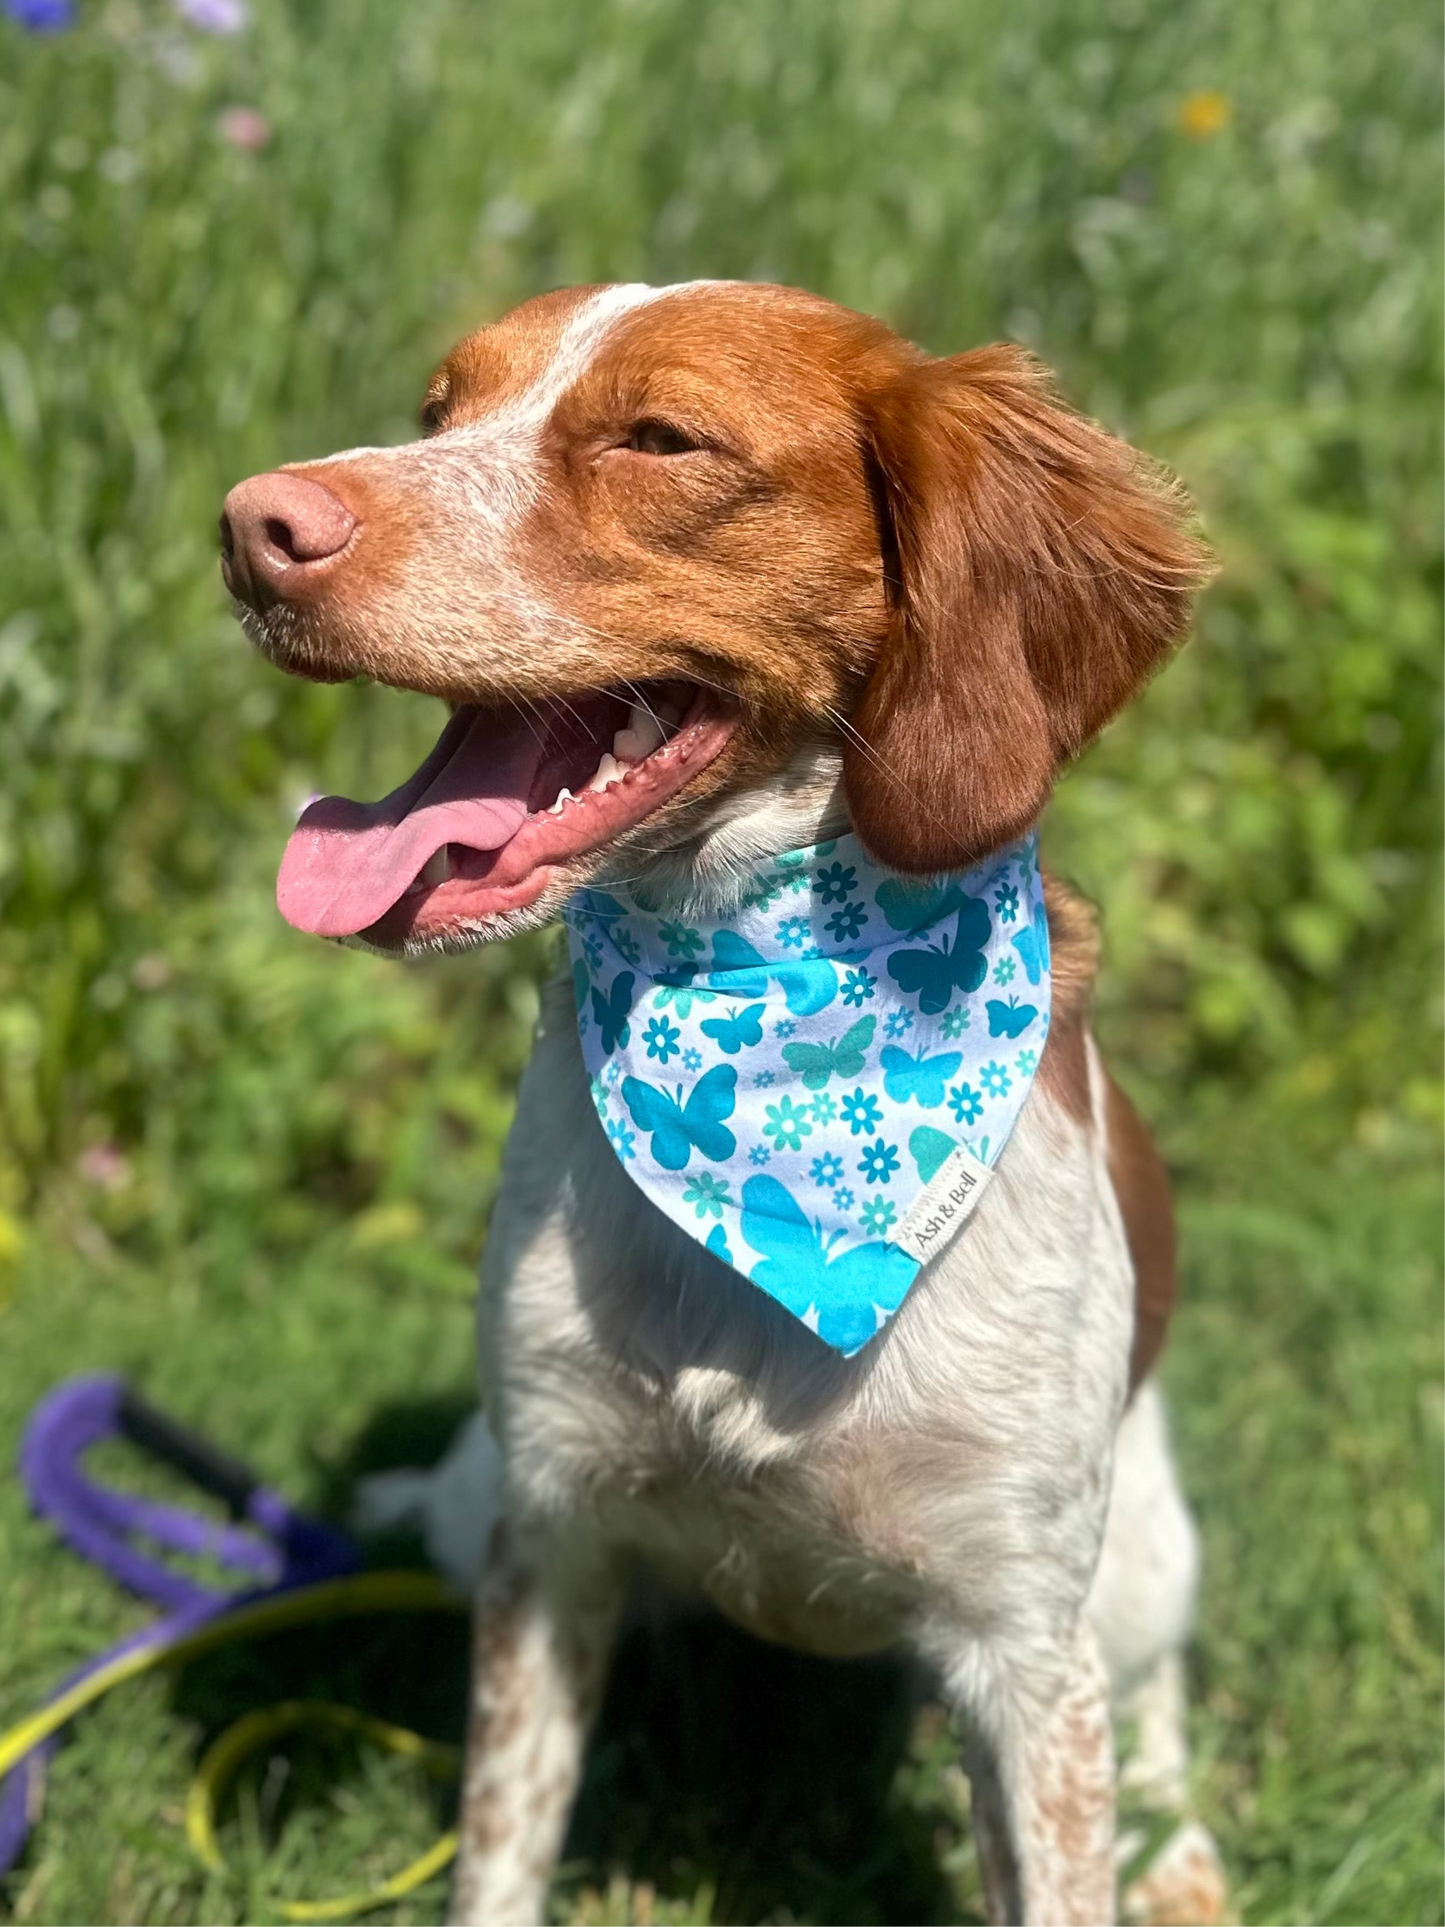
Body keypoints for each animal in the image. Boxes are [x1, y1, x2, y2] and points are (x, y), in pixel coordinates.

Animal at [223, 279, 1233, 1919]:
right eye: (438, 412)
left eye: (658, 438)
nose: (254, 522)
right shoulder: (549, 1534)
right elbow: (500, 1845)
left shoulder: (1025, 1645)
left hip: (1140, 1556)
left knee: (1151, 1701)